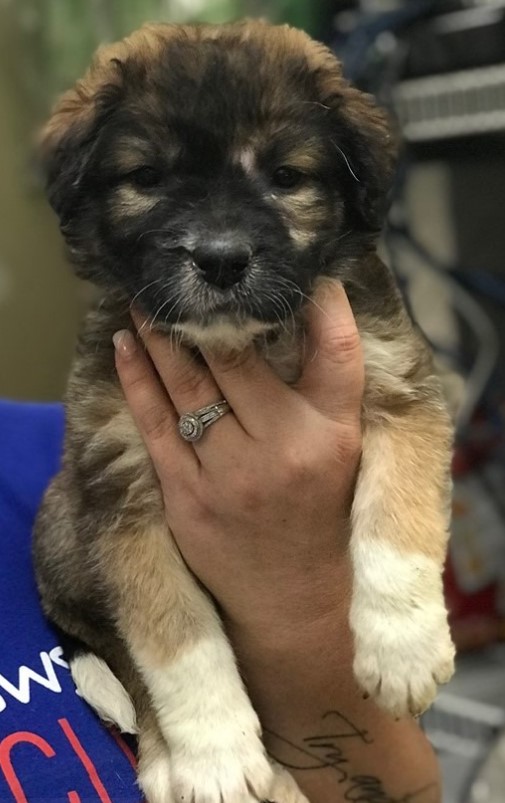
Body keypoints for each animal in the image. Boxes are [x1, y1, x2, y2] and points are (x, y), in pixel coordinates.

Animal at [33, 20, 454, 803]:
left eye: (286, 177)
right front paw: (217, 758)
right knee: (121, 656)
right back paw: (184, 764)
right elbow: (175, 637)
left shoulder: (398, 386)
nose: (222, 259)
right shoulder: (120, 485)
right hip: (67, 525)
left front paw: (404, 647)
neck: (244, 346)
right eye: (149, 178)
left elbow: (395, 523)